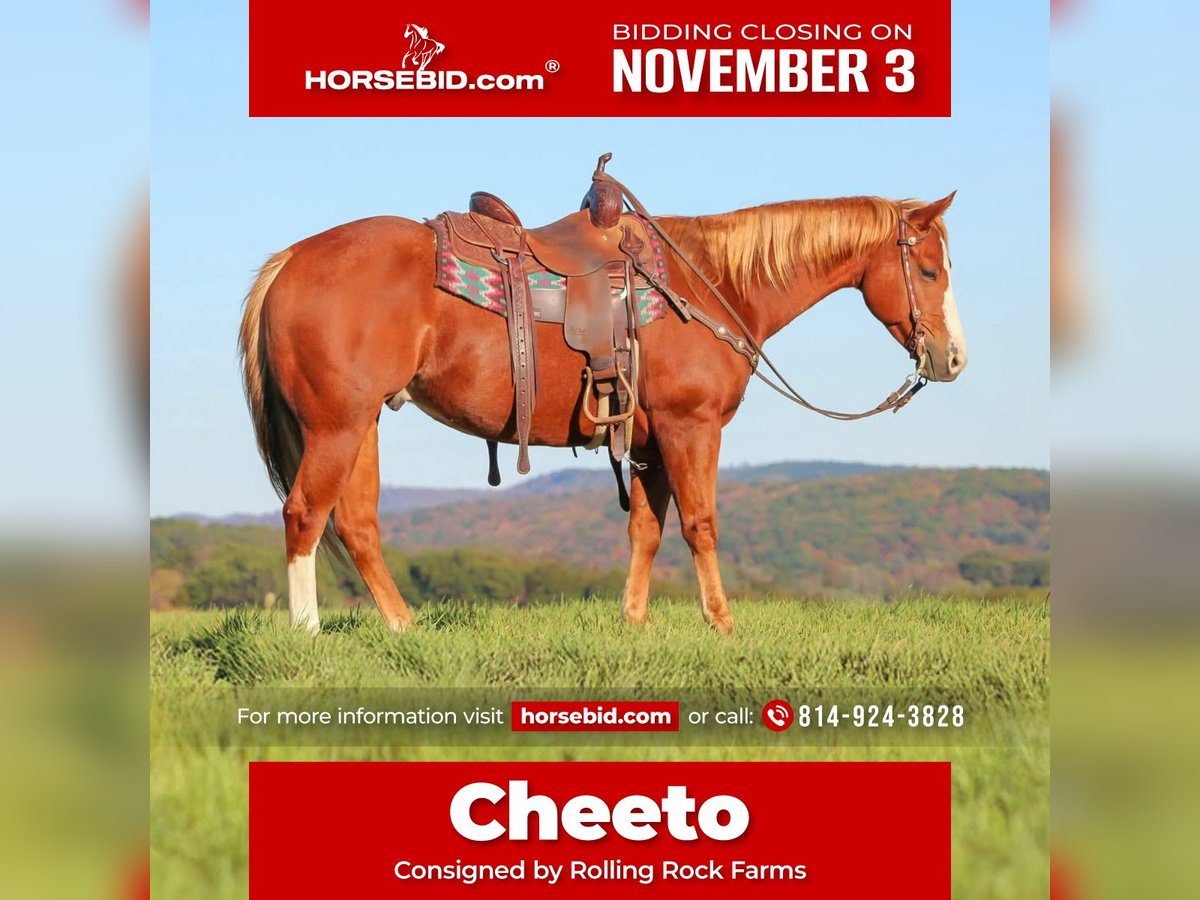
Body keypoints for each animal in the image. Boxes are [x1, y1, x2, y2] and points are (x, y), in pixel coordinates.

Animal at [238, 187, 966, 636]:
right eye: (930, 272)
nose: (953, 358)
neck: (713, 284)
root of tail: (291, 260)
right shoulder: (689, 427)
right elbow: (700, 525)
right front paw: (723, 624)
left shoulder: (646, 443)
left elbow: (645, 530)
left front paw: (634, 623)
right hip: (336, 425)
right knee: (305, 515)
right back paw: (307, 634)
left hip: (363, 424)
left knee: (357, 525)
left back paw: (404, 628)